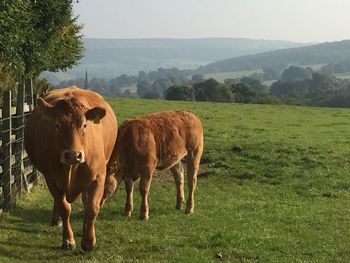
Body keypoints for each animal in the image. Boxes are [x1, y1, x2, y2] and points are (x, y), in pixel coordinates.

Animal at [25, 86, 117, 252]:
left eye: (84, 125)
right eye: (57, 126)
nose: (73, 155)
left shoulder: (98, 177)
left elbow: (92, 208)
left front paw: (88, 240)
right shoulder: (51, 178)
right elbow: (64, 208)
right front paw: (68, 240)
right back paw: (56, 219)